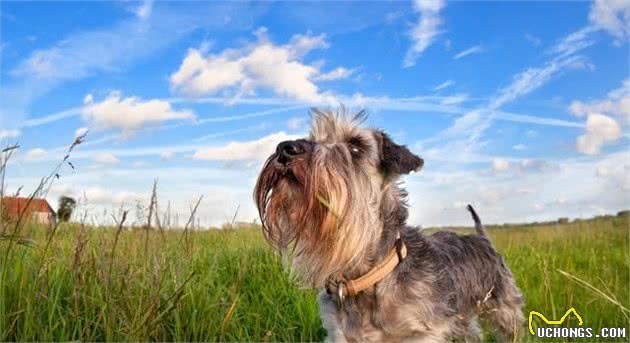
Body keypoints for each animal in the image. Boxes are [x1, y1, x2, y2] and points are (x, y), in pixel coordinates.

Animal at [254, 109, 524, 342]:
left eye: (355, 146)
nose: (285, 148)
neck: (367, 277)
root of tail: (482, 237)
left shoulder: (420, 334)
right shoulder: (339, 334)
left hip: (505, 311)